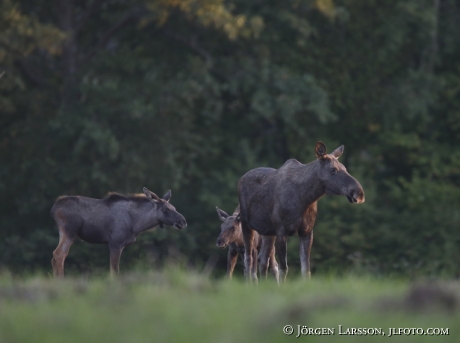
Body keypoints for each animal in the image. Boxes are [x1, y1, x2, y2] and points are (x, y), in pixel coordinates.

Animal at [50, 188, 187, 276]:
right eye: (166, 210)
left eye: (174, 208)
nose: (183, 221)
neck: (137, 224)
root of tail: (54, 208)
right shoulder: (115, 243)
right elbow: (114, 271)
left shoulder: (121, 245)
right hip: (70, 232)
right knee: (59, 254)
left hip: (63, 232)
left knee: (55, 256)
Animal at [239, 142, 364, 282]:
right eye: (333, 169)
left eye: (345, 168)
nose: (359, 193)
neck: (306, 198)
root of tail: (241, 179)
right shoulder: (281, 231)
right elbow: (284, 268)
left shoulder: (306, 231)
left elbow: (306, 270)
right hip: (246, 224)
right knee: (249, 259)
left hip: (267, 232)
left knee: (263, 260)